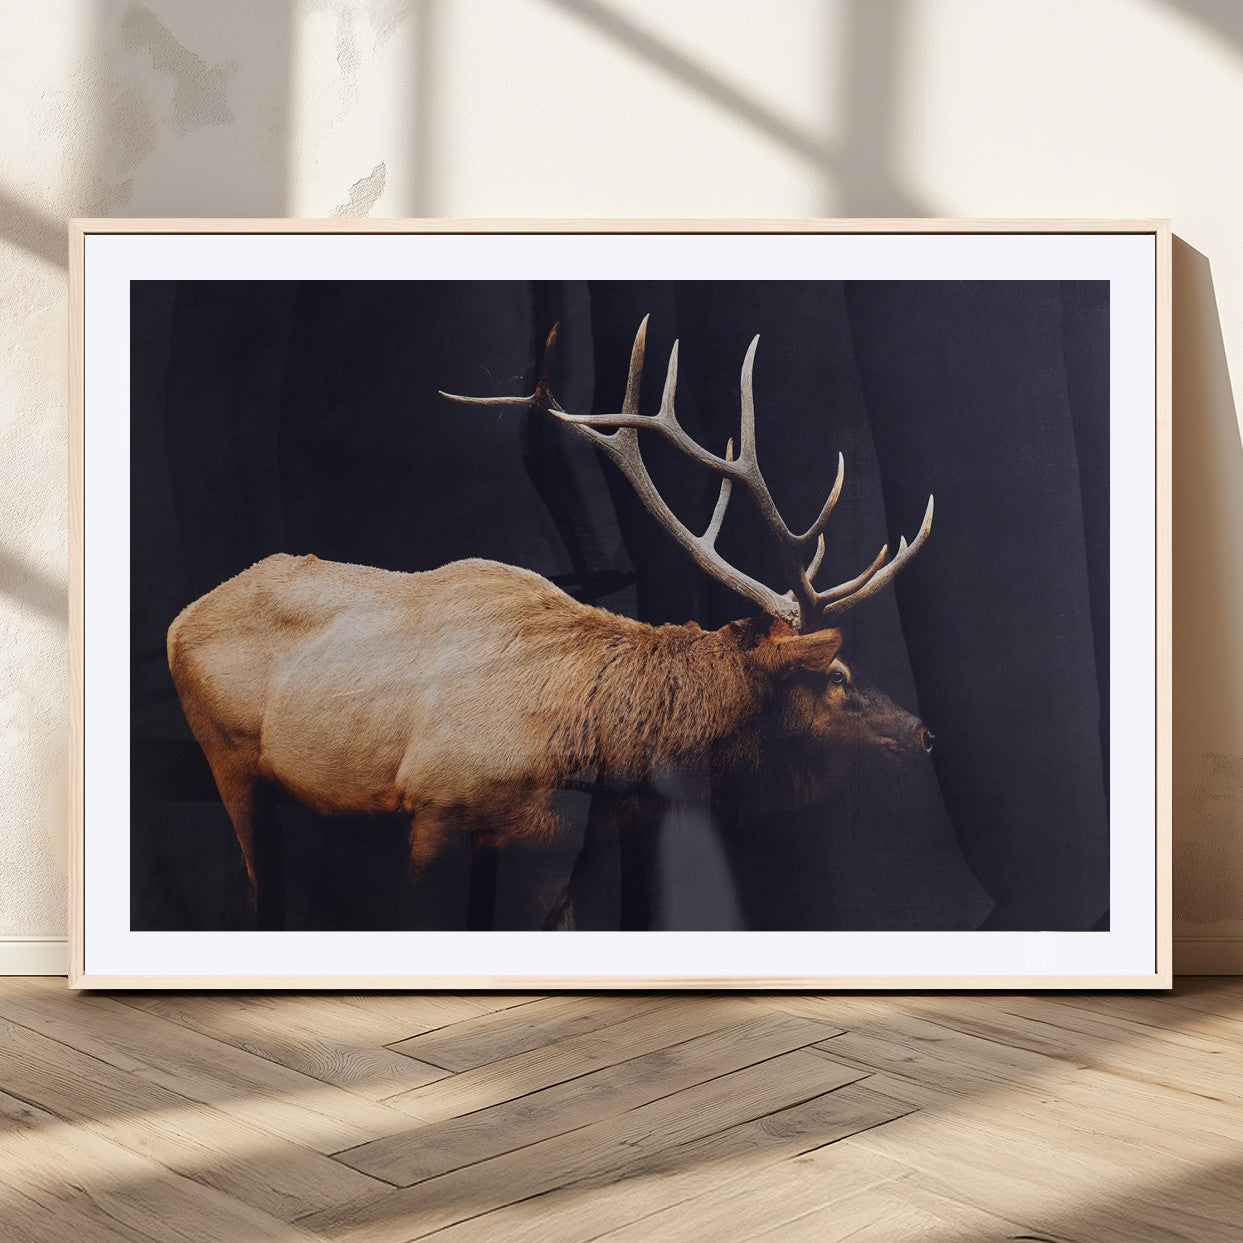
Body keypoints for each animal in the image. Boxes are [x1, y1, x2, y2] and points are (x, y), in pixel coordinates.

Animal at [167, 316, 935, 928]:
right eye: (837, 674)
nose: (924, 733)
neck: (597, 748)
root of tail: (179, 618)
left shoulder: (557, 840)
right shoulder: (434, 805)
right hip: (226, 754)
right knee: (257, 888)